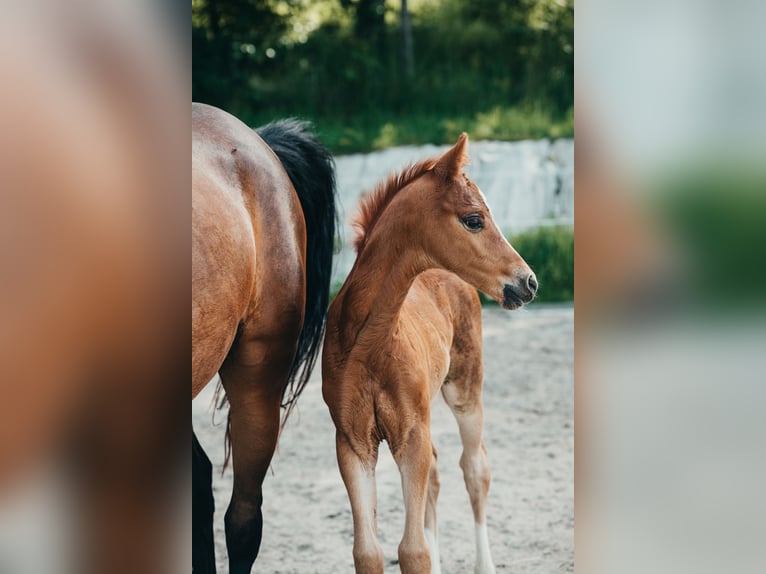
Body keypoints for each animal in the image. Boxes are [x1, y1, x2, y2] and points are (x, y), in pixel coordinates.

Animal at [322, 133, 537, 574]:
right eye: (474, 219)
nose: (528, 282)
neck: (370, 344)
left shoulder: (410, 434)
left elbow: (412, 550)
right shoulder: (352, 441)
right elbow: (368, 551)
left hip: (465, 388)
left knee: (475, 468)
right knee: (437, 472)